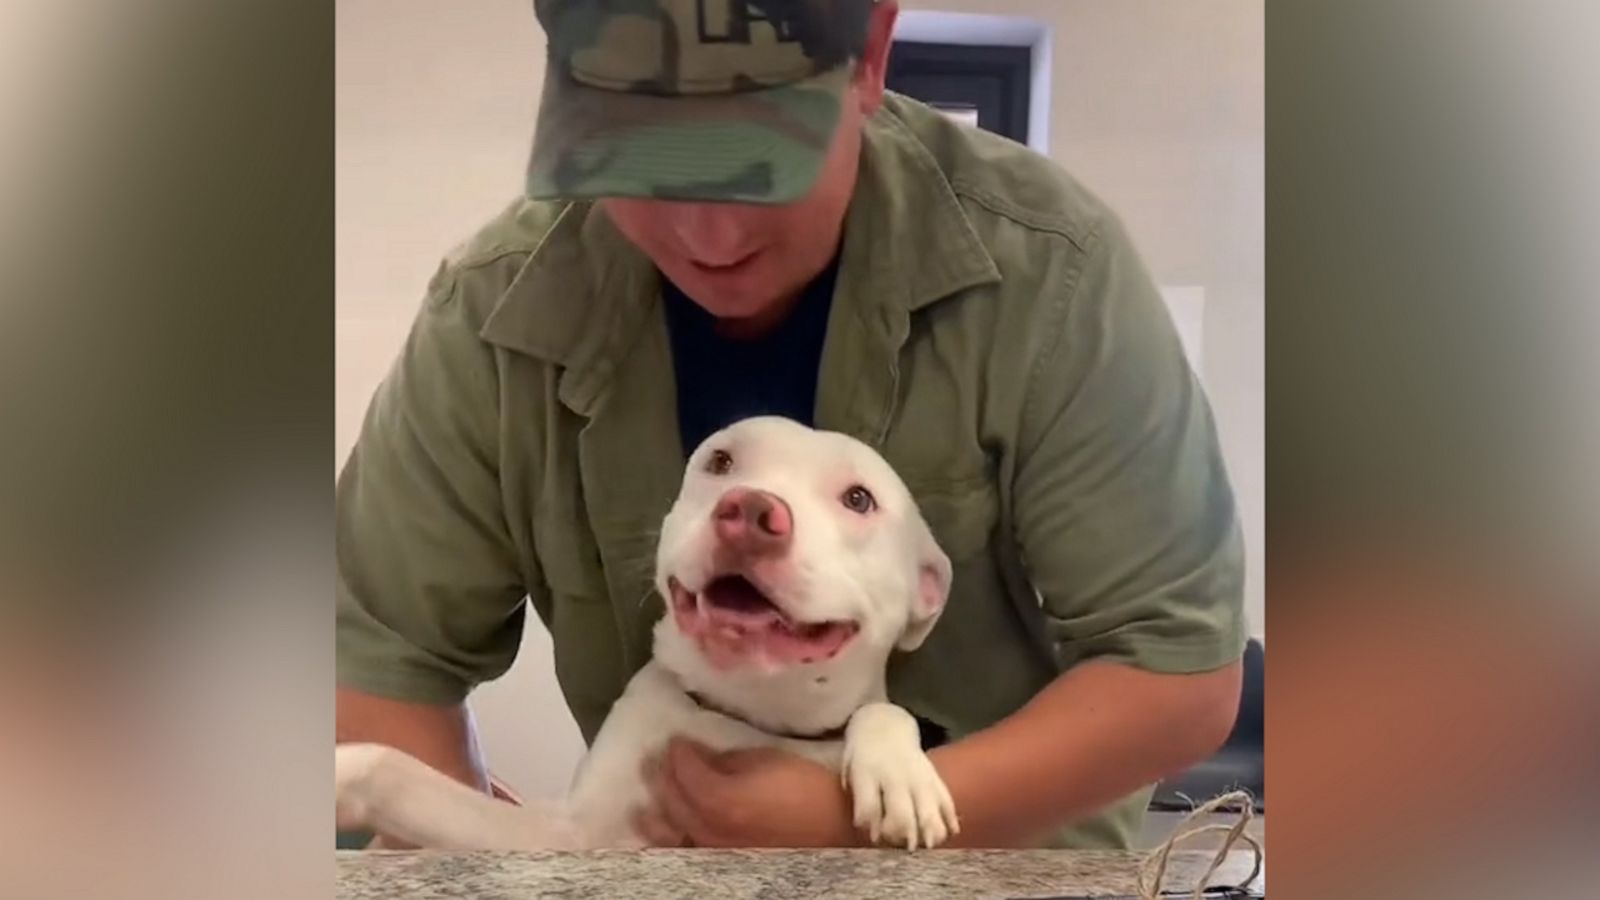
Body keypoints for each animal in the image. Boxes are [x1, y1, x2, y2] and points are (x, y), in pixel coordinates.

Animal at [336, 413, 953, 845]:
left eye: (859, 499)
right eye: (721, 462)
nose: (751, 512)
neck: (743, 714)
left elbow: (885, 711)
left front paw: (898, 773)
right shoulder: (565, 834)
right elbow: (396, 771)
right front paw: (342, 775)